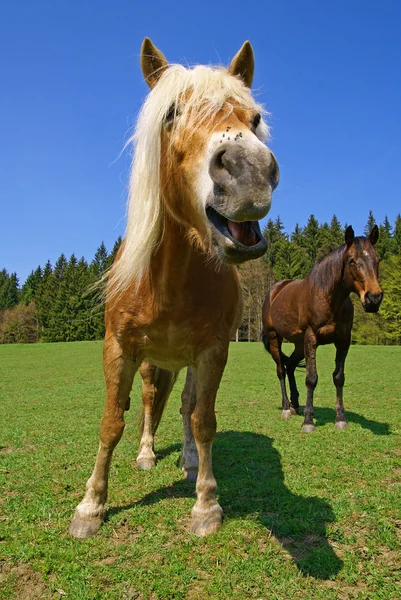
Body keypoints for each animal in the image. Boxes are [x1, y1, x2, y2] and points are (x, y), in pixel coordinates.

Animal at [69, 36, 278, 540]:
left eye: (255, 119)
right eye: (171, 113)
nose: (248, 173)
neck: (168, 281)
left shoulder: (213, 351)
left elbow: (203, 421)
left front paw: (206, 503)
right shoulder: (118, 347)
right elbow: (111, 422)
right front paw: (90, 506)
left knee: (183, 407)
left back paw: (186, 460)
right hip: (150, 363)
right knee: (147, 402)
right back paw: (146, 454)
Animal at [260, 227, 382, 434]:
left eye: (378, 259)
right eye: (352, 260)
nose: (373, 298)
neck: (328, 297)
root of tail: (274, 290)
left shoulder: (343, 340)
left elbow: (338, 377)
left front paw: (340, 418)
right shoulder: (311, 338)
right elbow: (311, 378)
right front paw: (308, 421)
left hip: (299, 344)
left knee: (290, 365)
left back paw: (295, 404)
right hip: (275, 337)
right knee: (281, 370)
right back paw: (286, 408)